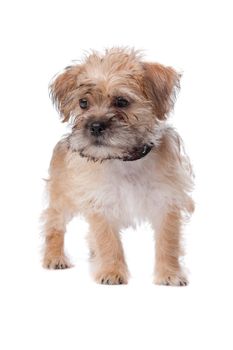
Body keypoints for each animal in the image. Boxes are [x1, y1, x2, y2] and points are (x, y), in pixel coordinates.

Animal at [41, 47, 193, 286]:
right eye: (83, 103)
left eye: (122, 102)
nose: (95, 126)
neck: (124, 160)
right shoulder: (100, 201)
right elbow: (107, 240)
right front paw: (111, 272)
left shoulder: (166, 201)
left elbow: (168, 241)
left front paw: (170, 274)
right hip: (61, 198)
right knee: (53, 225)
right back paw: (54, 257)